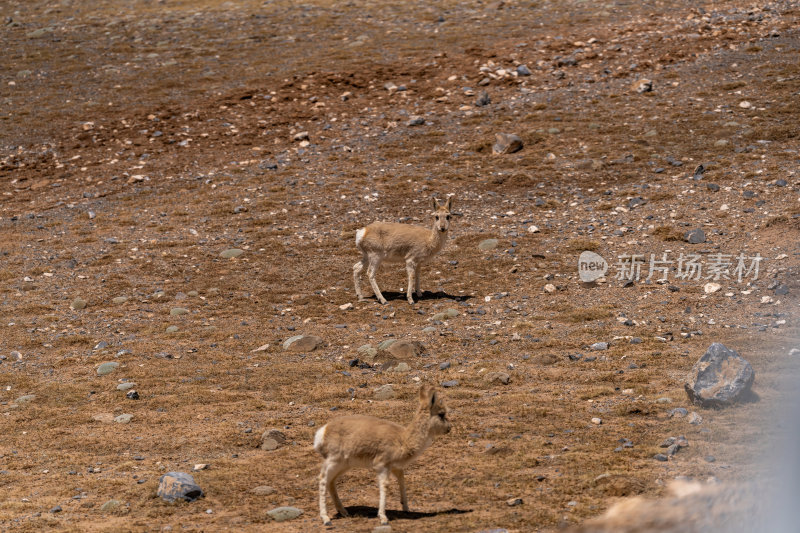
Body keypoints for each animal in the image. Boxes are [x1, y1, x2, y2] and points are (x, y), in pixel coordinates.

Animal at [312, 384, 450, 524]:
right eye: (441, 414)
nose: (449, 428)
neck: (403, 439)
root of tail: (323, 431)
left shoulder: (395, 467)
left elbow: (402, 480)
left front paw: (406, 507)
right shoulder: (381, 465)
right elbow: (385, 486)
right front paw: (383, 517)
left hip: (344, 465)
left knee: (331, 481)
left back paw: (344, 512)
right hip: (334, 462)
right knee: (323, 479)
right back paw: (326, 518)